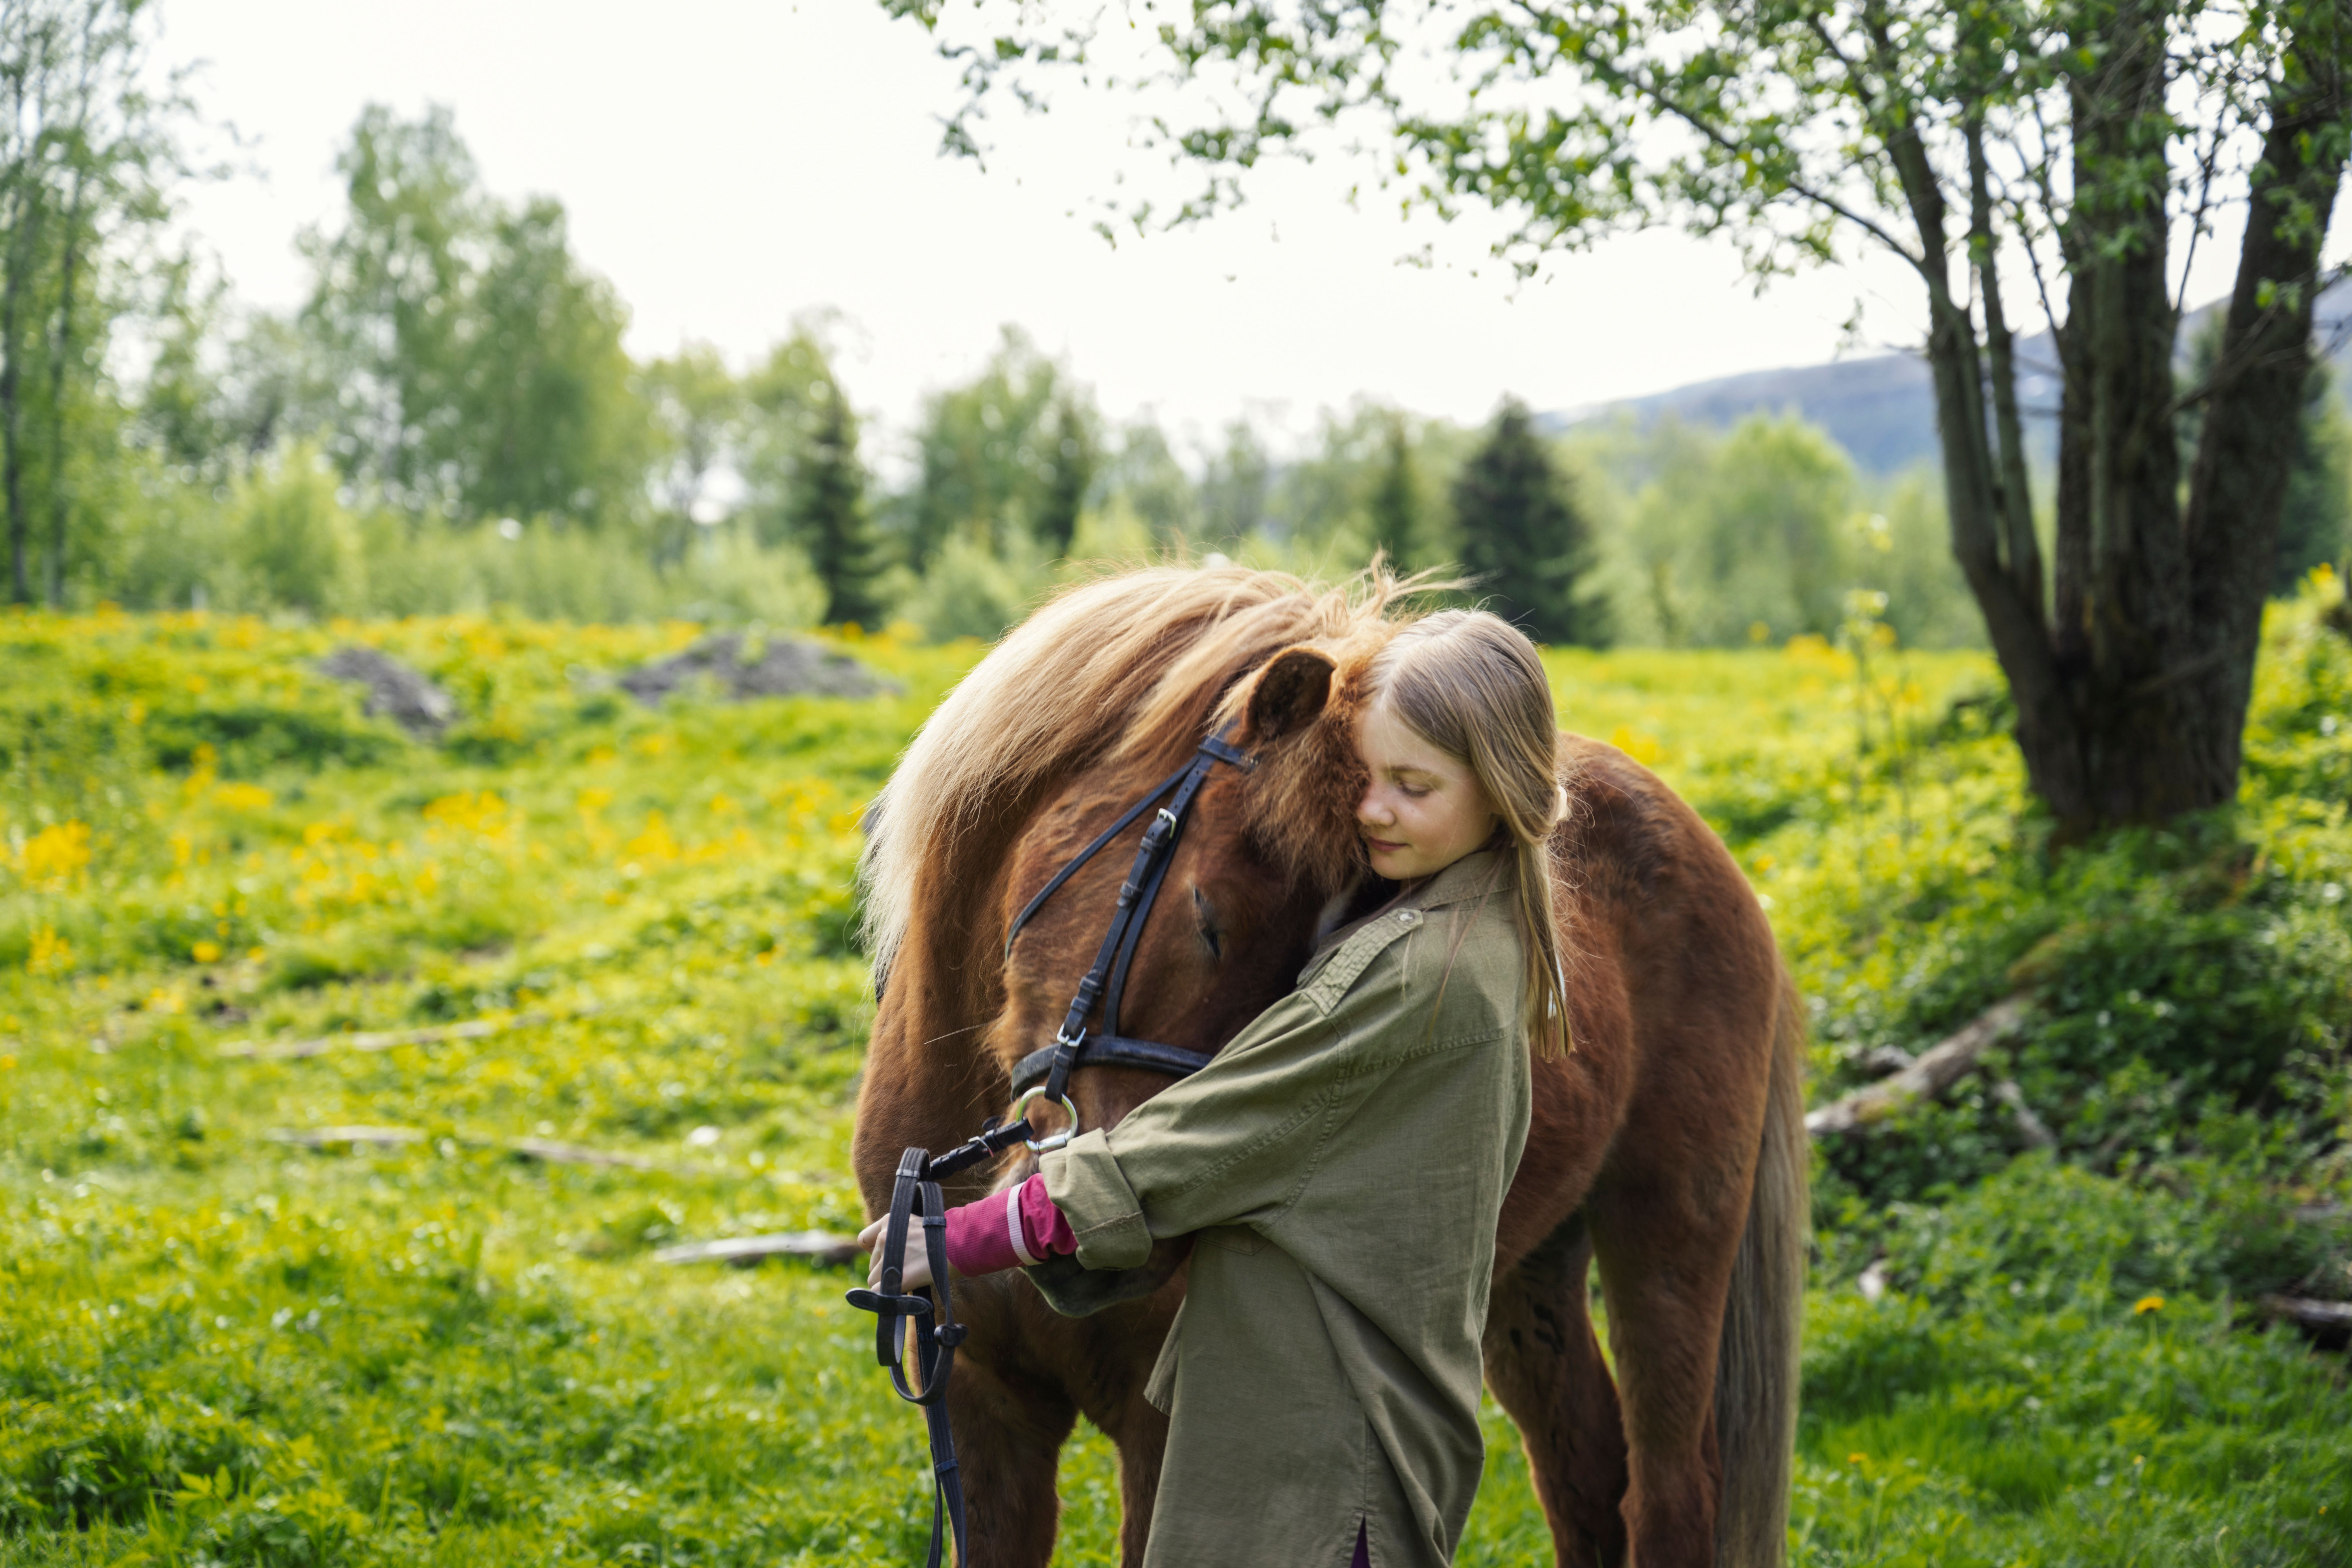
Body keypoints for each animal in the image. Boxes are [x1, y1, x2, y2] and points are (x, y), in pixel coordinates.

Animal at [853, 565, 1806, 1568]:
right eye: (1209, 921)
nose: (1105, 1248)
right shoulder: (980, 1404)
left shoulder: (1168, 1427)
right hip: (1526, 1273)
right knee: (1587, 1468)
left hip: (1670, 1236)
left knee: (1670, 1490)